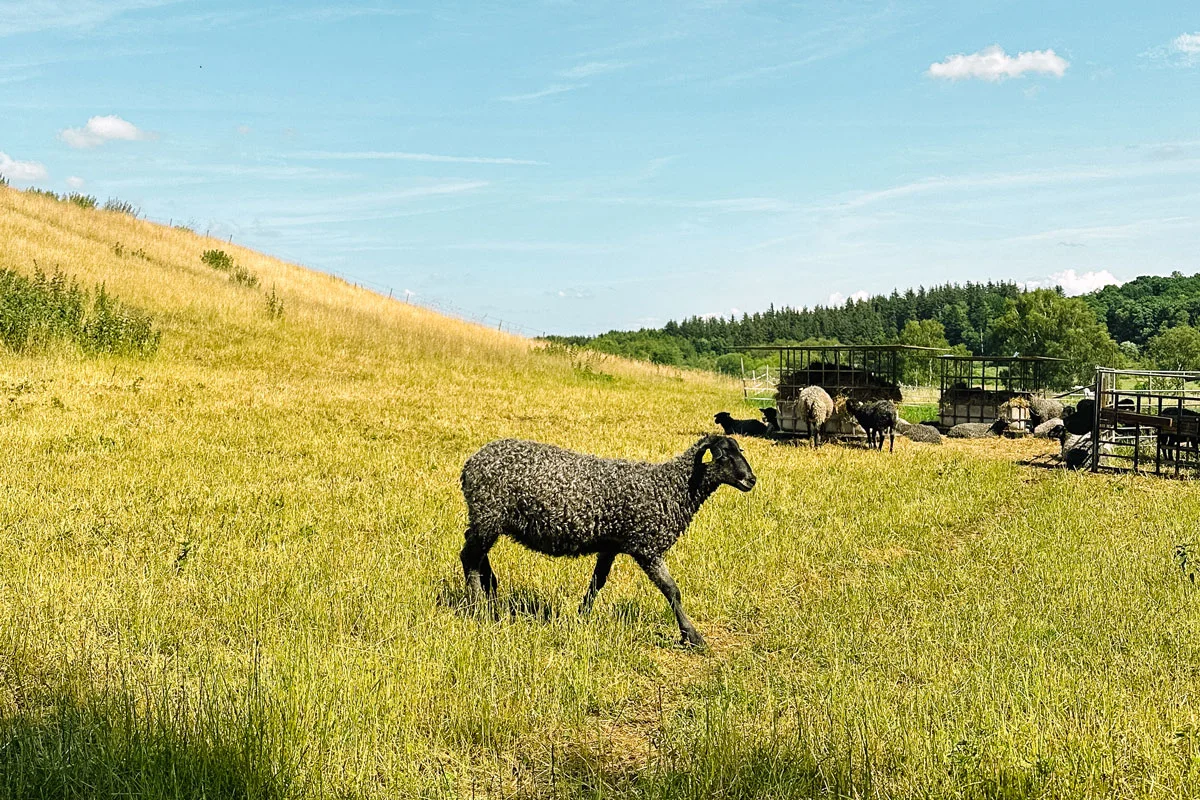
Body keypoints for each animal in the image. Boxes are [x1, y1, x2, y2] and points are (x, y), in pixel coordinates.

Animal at [459, 434, 757, 647]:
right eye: (724, 454)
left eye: (739, 451)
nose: (751, 480)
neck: (672, 486)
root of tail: (470, 464)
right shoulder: (646, 547)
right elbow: (672, 590)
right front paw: (692, 636)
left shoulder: (611, 545)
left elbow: (597, 582)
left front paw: (582, 616)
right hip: (488, 514)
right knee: (469, 557)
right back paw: (478, 608)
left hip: (489, 519)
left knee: (475, 551)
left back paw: (491, 592)